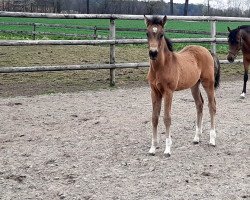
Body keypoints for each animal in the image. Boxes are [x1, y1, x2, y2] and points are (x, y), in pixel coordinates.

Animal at [144, 15, 220, 156]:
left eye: (161, 34)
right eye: (147, 33)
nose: (153, 53)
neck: (161, 67)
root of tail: (207, 51)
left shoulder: (168, 91)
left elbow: (167, 118)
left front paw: (167, 149)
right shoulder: (154, 91)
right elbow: (154, 118)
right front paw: (152, 148)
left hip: (208, 83)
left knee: (212, 105)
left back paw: (212, 140)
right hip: (194, 85)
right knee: (199, 104)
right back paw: (196, 138)